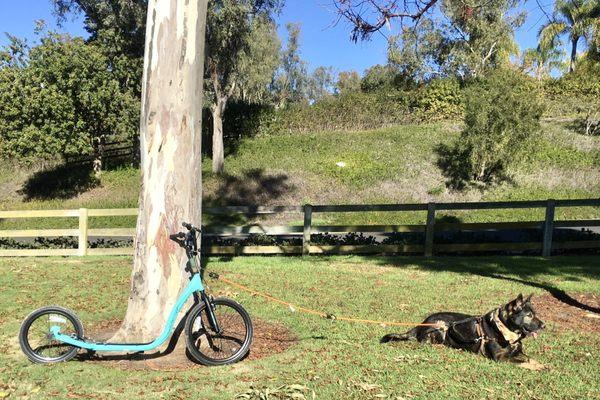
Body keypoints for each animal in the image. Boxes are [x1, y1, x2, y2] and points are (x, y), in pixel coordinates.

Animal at [382, 294, 548, 362]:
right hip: (441, 325)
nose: (544, 325)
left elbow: (528, 358)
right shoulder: (500, 357)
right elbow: (524, 362)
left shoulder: (518, 352)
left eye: (535, 314)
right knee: (425, 342)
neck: (505, 329)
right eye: (529, 315)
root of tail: (421, 324)